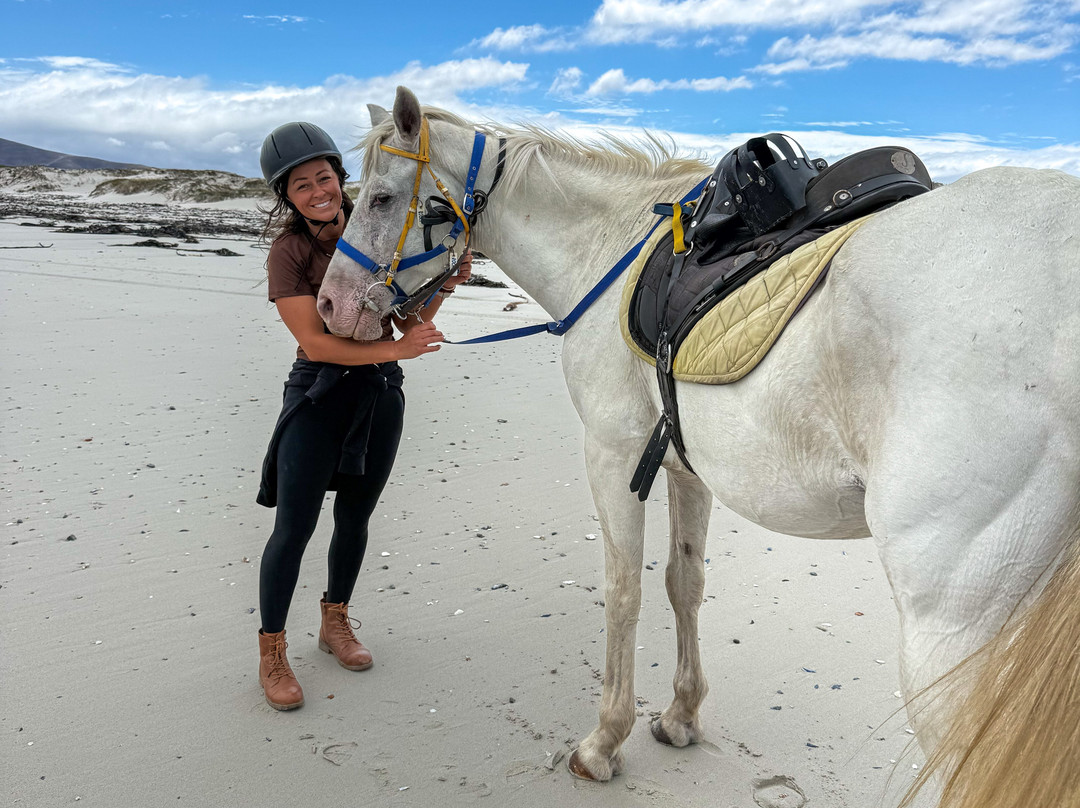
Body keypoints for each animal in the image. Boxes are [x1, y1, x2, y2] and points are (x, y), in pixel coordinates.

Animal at [317, 87, 1080, 807]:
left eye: (381, 198)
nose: (327, 306)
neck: (609, 248)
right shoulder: (685, 466)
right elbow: (684, 583)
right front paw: (681, 715)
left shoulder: (612, 452)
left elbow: (623, 590)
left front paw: (605, 741)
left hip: (953, 631)